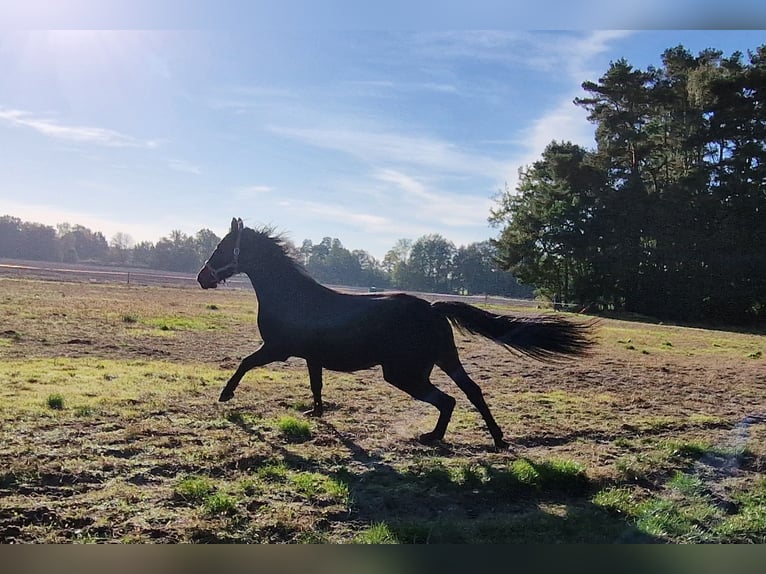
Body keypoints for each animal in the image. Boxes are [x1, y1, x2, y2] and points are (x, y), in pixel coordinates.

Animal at [198, 218, 592, 452]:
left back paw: (433, 437)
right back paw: (497, 439)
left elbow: (244, 363)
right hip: (444, 360)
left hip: (404, 373)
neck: (292, 297)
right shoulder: (311, 357)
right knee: (472, 392)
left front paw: (225, 396)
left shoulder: (278, 348)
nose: (203, 278)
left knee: (447, 400)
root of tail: (433, 308)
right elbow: (316, 385)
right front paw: (316, 413)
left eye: (221, 247)